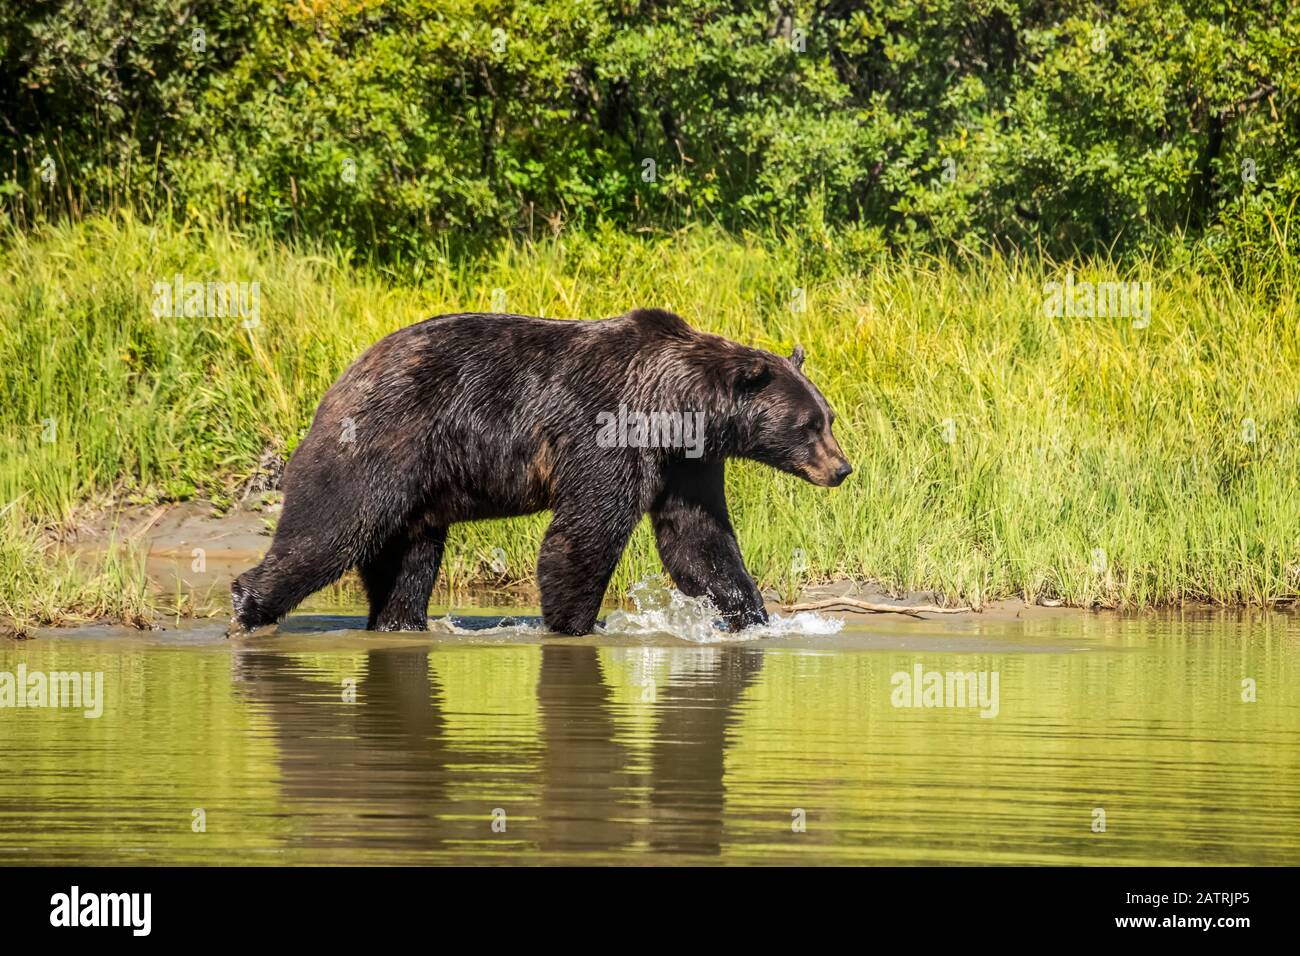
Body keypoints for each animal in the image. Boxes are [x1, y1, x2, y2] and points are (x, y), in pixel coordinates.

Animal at [228, 306, 847, 634]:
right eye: (807, 425)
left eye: (828, 417)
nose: (840, 468)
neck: (676, 408)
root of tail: (348, 371)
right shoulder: (607, 433)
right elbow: (586, 531)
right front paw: (576, 622)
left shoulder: (686, 462)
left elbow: (698, 540)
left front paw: (754, 617)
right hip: (384, 440)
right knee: (333, 526)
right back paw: (248, 605)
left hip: (421, 486)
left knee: (408, 560)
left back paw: (400, 622)